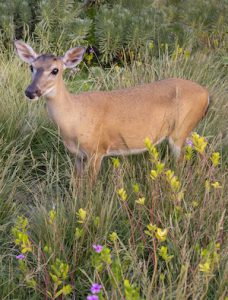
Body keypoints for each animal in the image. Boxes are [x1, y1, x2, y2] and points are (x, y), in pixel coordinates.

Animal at [15, 41, 209, 182]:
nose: (31, 91)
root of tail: (206, 94)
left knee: (182, 162)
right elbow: (77, 184)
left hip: (179, 130)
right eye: (31, 67)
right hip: (186, 130)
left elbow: (90, 186)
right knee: (201, 146)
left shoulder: (97, 149)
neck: (75, 117)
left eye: (55, 70)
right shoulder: (77, 154)